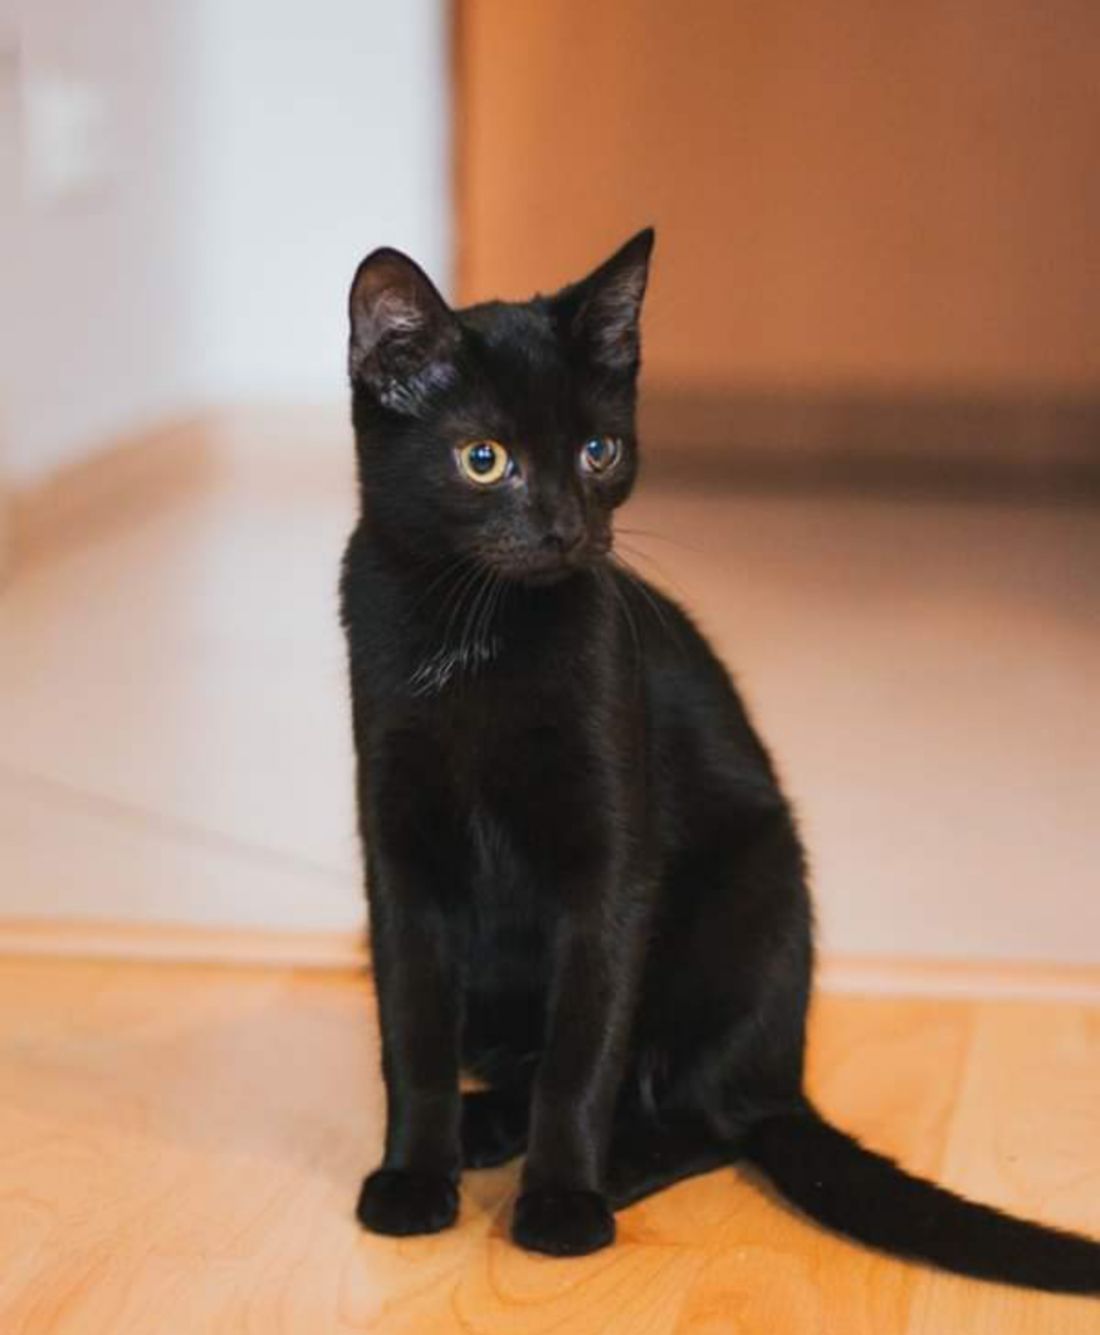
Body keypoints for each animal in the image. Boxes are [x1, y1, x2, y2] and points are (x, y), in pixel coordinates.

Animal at [339, 229, 1099, 1292]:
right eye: (483, 459)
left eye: (599, 451)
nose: (567, 529)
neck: (477, 635)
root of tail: (782, 1070)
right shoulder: (398, 849)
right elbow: (410, 1029)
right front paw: (413, 1175)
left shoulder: (612, 864)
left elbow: (585, 1050)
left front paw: (562, 1199)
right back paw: (484, 1125)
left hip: (751, 896)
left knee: (702, 1114)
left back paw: (595, 1165)